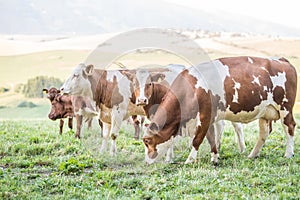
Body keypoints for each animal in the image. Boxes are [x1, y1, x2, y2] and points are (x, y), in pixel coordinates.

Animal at [144, 55, 298, 164]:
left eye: (147, 141)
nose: (147, 161)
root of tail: (281, 60)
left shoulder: (205, 116)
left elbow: (197, 140)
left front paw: (189, 160)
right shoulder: (209, 119)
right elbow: (211, 138)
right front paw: (215, 158)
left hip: (285, 107)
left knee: (289, 127)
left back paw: (288, 154)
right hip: (266, 111)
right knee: (264, 133)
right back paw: (252, 154)